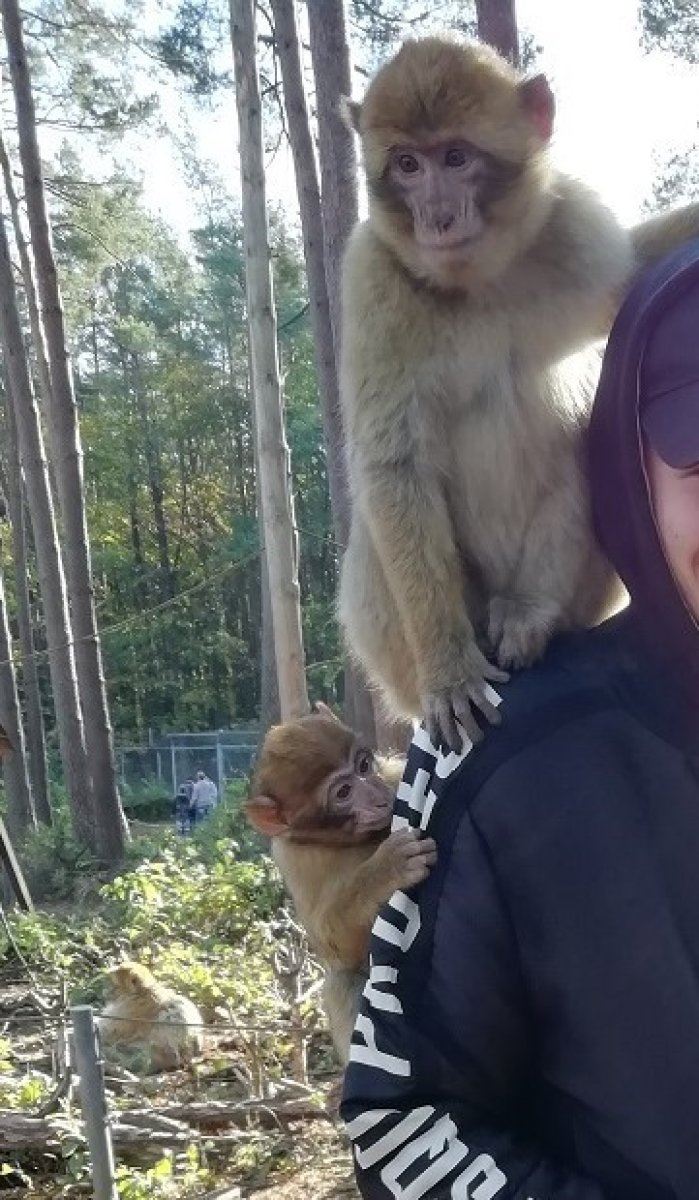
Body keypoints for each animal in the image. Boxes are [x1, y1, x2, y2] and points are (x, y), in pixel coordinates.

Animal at [245, 710, 436, 1061]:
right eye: (344, 792)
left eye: (363, 766)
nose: (378, 796)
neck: (344, 840)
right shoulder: (293, 859)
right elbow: (334, 946)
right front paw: (385, 870)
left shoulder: (391, 774)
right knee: (343, 982)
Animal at [337, 35, 699, 754]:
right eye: (407, 165)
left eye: (455, 158)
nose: (436, 216)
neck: (478, 284)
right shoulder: (371, 280)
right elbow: (395, 467)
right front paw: (448, 668)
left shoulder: (571, 225)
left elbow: (637, 265)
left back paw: (529, 611)